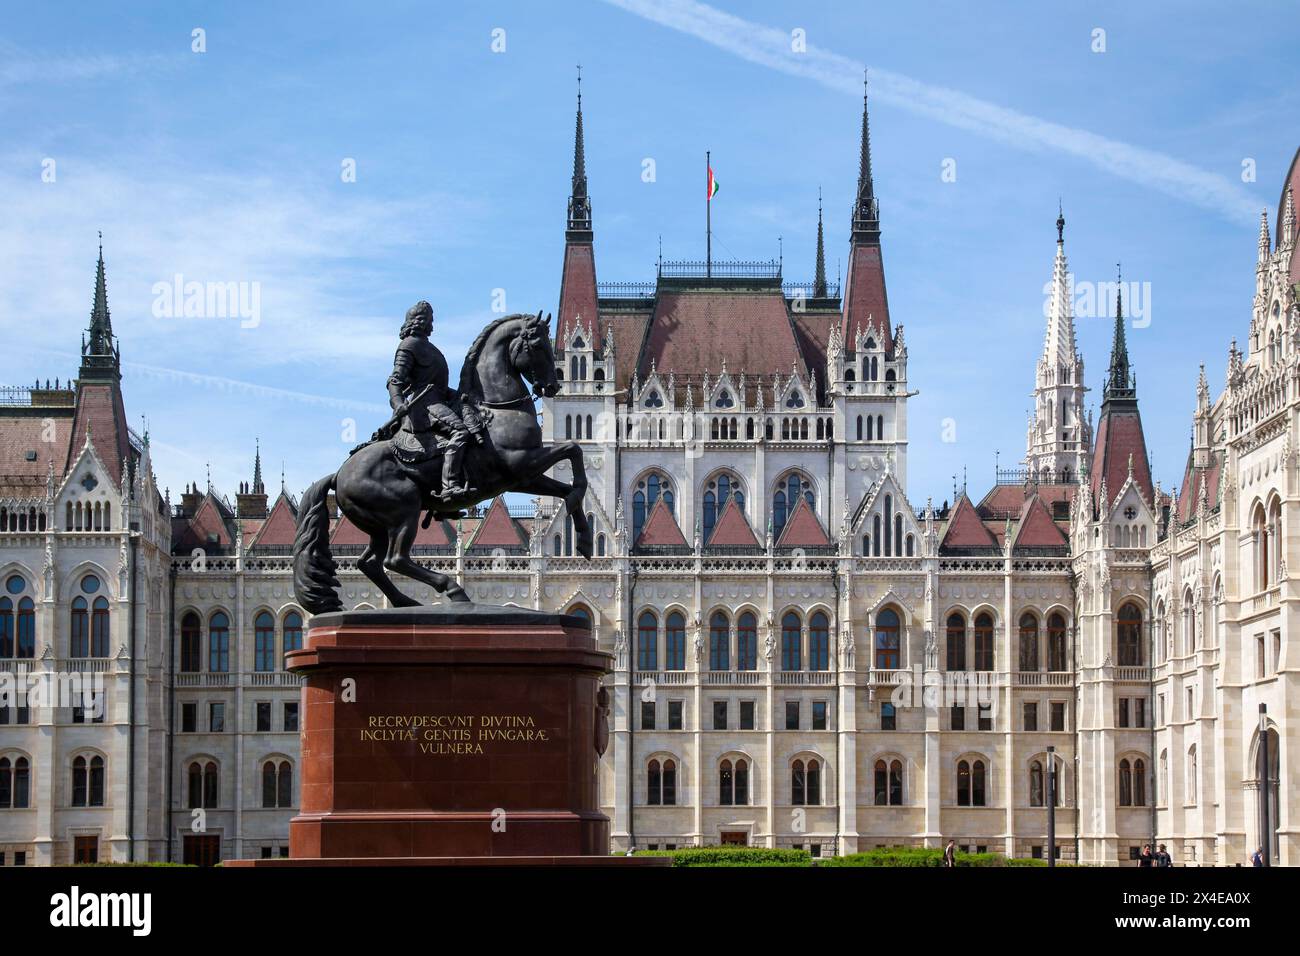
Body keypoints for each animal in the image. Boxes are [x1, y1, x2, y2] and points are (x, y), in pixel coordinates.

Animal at [292, 314, 592, 613]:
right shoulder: (521, 463)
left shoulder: (523, 476)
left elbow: (569, 482)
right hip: (405, 509)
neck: (497, 410)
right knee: (395, 559)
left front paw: (583, 536)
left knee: (371, 563)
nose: (553, 386)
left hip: (378, 524)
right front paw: (580, 525)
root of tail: (338, 473)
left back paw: (406, 601)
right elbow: (573, 450)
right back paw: (451, 589)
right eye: (538, 346)